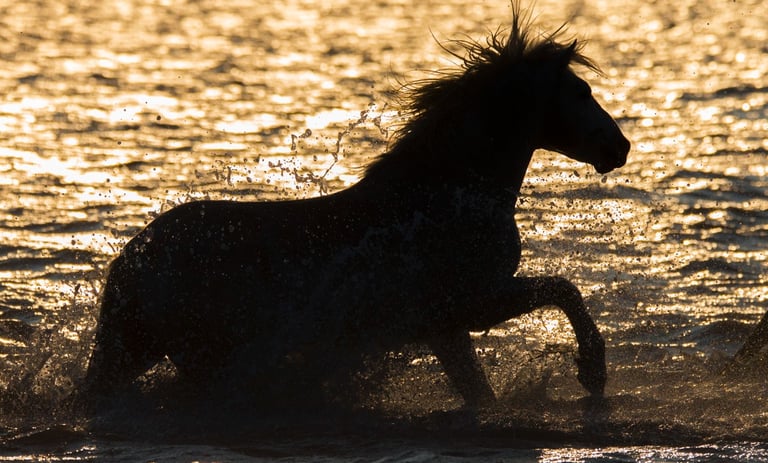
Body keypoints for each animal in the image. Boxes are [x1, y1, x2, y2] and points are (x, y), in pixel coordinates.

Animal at [84, 5, 630, 410]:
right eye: (580, 91)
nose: (619, 147)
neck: (445, 198)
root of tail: (132, 256)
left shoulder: (448, 327)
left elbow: (481, 390)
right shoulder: (472, 304)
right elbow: (562, 289)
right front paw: (592, 370)